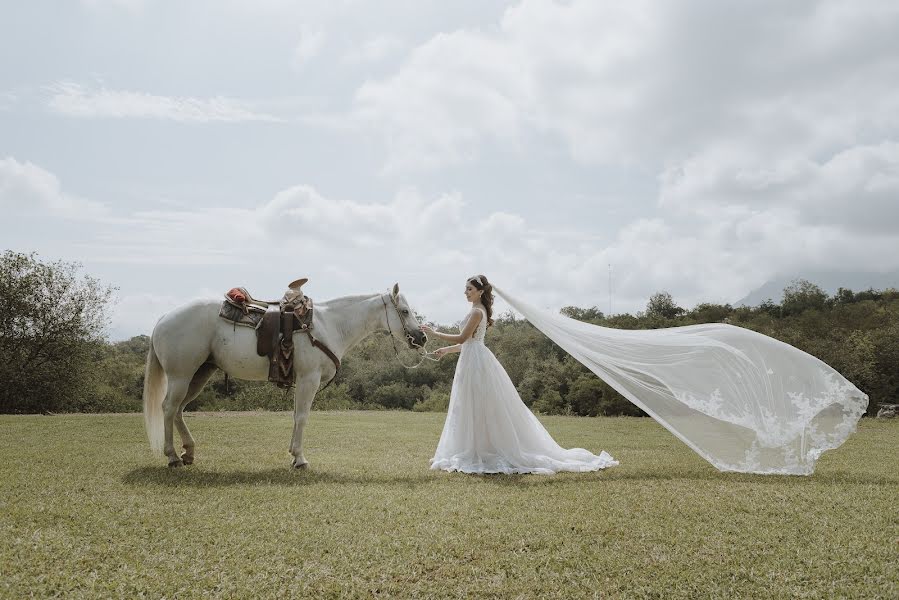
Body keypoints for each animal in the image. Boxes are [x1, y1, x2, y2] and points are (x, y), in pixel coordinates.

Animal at [142, 282, 428, 468]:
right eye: (404, 311)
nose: (422, 337)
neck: (330, 325)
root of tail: (164, 317)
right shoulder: (309, 379)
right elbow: (302, 417)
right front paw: (299, 459)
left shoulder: (302, 381)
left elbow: (295, 416)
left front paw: (293, 453)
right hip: (180, 376)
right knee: (169, 408)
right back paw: (172, 457)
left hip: (199, 374)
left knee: (179, 410)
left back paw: (188, 453)